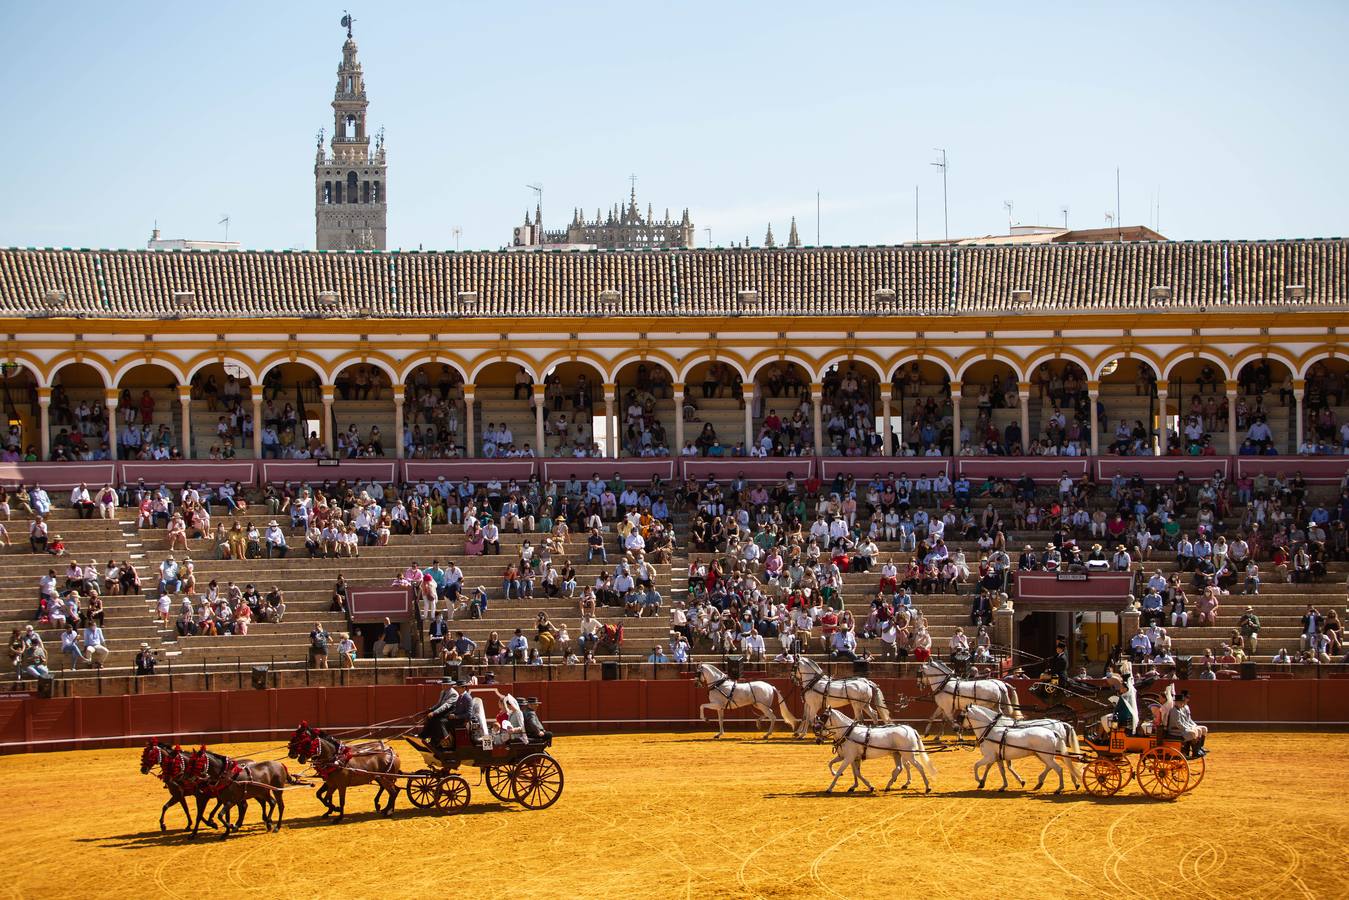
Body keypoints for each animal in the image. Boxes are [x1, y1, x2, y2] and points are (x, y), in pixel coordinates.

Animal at [809, 707, 938, 793]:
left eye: (824, 716)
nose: (817, 738)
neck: (848, 733)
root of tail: (910, 729)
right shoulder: (848, 758)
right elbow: (850, 771)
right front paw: (861, 786)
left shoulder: (848, 758)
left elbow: (842, 771)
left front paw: (830, 787)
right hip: (897, 754)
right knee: (900, 767)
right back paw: (890, 784)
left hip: (908, 755)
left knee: (919, 767)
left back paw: (927, 787)